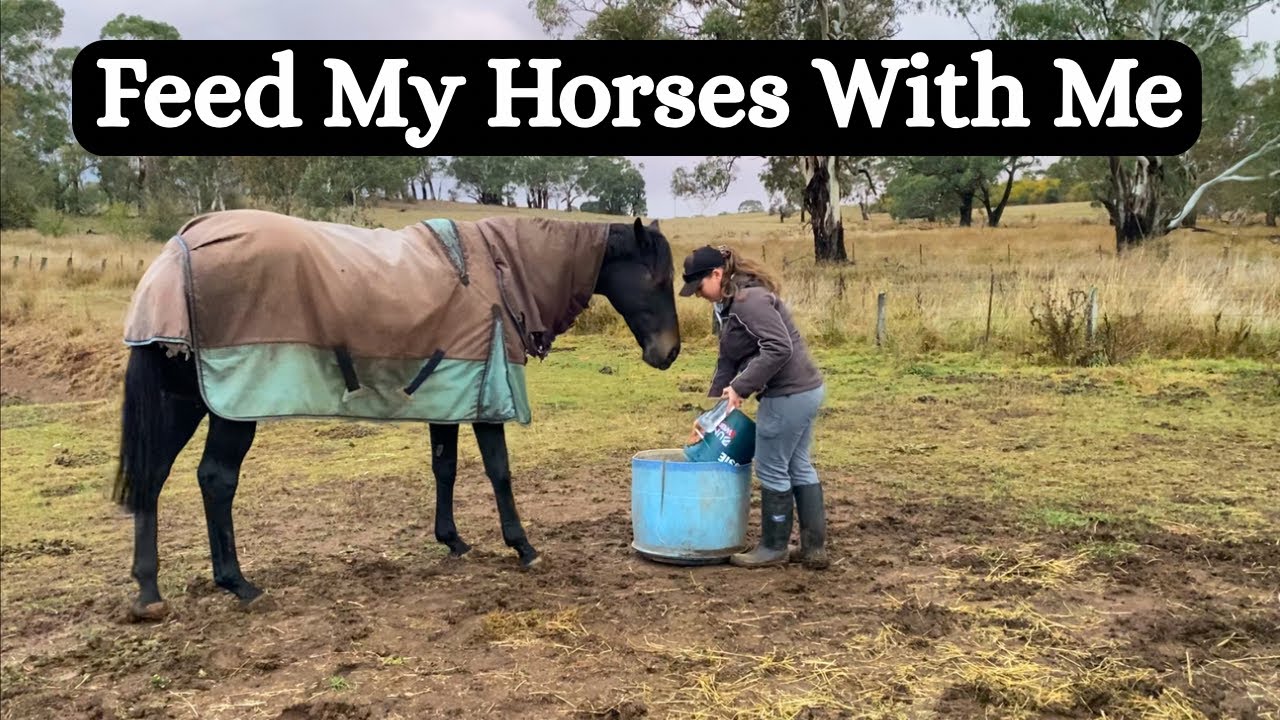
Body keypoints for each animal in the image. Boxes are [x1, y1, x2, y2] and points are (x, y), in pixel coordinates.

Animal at [112, 209, 681, 622]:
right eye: (654, 279)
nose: (669, 353)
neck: (498, 271)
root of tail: (179, 250)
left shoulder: (452, 389)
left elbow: (444, 466)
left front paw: (453, 540)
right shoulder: (488, 395)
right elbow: (499, 471)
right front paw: (522, 546)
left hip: (185, 403)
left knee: (152, 478)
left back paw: (149, 592)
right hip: (233, 407)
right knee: (215, 479)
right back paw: (238, 583)